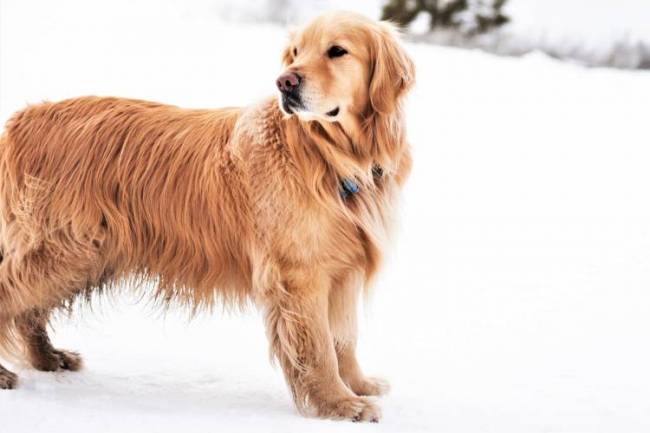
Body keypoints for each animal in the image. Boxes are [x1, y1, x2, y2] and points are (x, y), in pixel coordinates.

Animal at [0, 11, 416, 422]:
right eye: (296, 52)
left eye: (337, 51)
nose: (285, 82)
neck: (329, 155)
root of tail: (23, 118)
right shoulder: (300, 274)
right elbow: (318, 347)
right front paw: (339, 403)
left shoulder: (344, 269)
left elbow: (344, 340)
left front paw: (357, 385)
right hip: (65, 250)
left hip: (85, 255)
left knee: (29, 312)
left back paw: (47, 357)